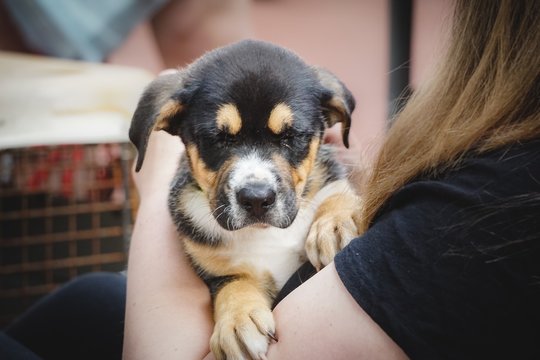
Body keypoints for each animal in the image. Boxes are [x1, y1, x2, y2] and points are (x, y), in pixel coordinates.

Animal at [129, 40, 360, 360]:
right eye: (218, 139)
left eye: (290, 136)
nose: (257, 199)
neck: (265, 235)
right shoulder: (214, 272)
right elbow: (233, 283)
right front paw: (237, 321)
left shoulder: (328, 177)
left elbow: (337, 192)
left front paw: (335, 224)